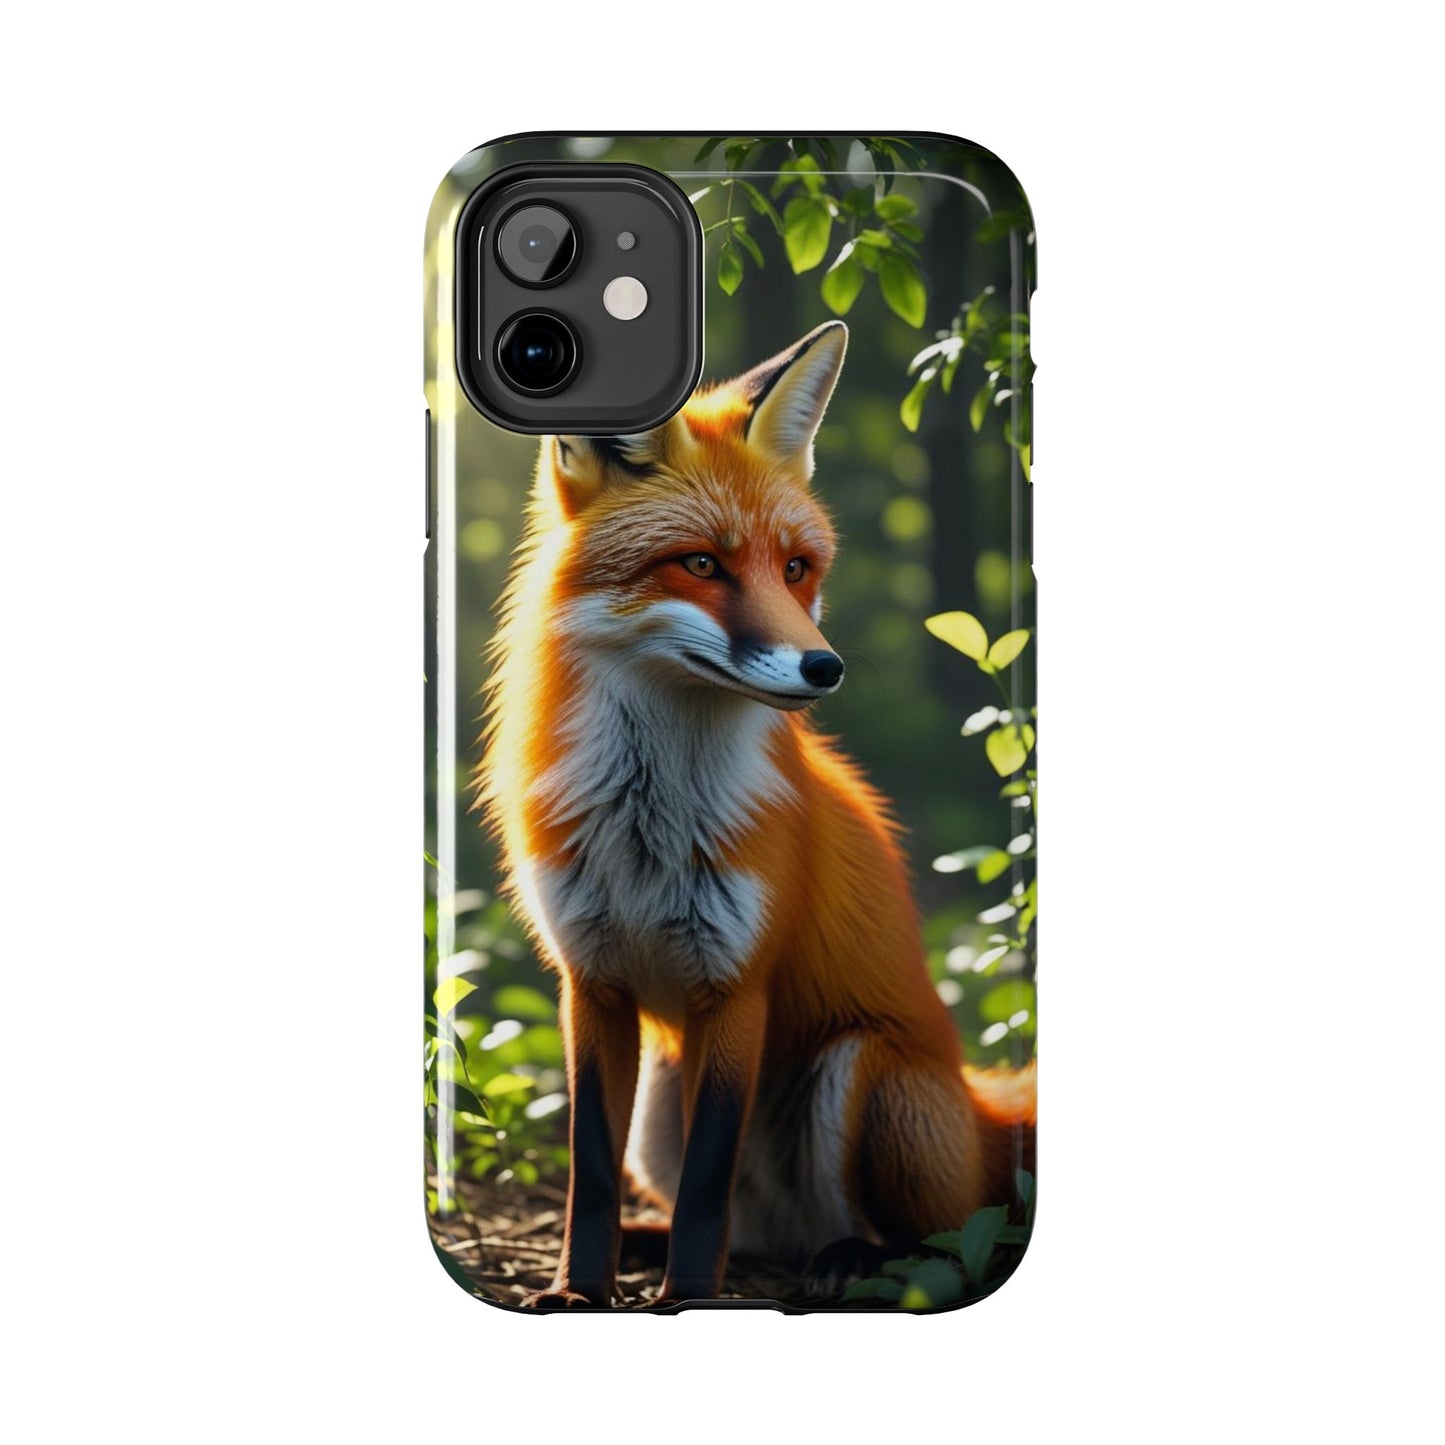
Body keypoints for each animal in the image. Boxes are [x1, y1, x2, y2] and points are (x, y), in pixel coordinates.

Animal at [477, 320, 1036, 1307]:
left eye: (796, 568)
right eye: (701, 562)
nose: (825, 667)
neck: (646, 827)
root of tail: (978, 1099)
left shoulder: (736, 987)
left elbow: (708, 1180)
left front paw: (687, 1299)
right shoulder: (592, 984)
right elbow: (591, 1165)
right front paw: (580, 1290)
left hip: (861, 1076)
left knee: (922, 1240)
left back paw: (841, 1258)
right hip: (660, 1103)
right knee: (750, 1227)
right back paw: (664, 1243)